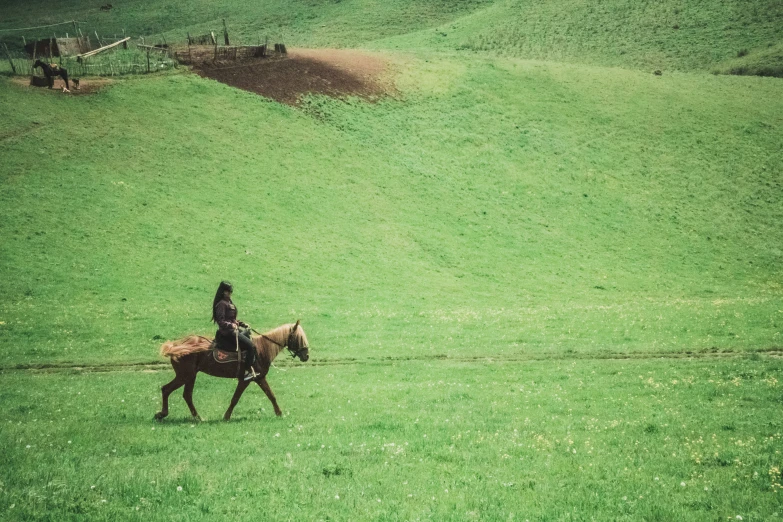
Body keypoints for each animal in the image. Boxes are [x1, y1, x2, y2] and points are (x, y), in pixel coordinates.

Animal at [155, 318, 310, 420]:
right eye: (299, 338)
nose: (306, 356)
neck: (261, 350)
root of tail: (176, 346)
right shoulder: (246, 379)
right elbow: (235, 398)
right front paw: (226, 416)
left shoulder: (259, 378)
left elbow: (271, 395)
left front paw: (279, 413)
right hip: (185, 376)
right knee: (167, 389)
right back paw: (163, 414)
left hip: (190, 376)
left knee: (186, 395)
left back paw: (197, 417)